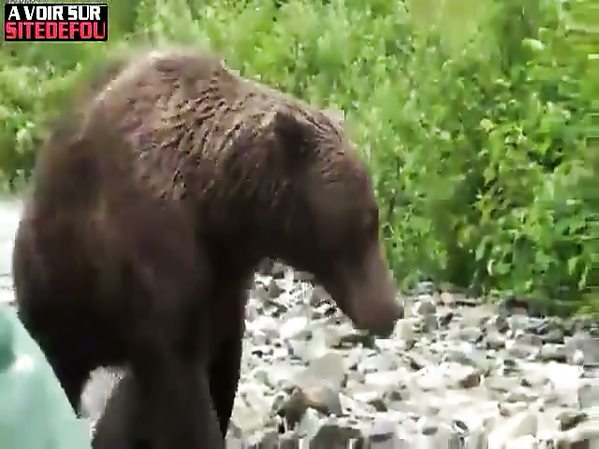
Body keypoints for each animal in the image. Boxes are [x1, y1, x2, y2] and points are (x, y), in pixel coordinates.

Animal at [12, 46, 404, 449]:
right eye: (365, 222)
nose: (392, 309)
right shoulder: (158, 252)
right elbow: (183, 382)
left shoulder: (225, 281)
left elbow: (219, 365)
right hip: (59, 290)